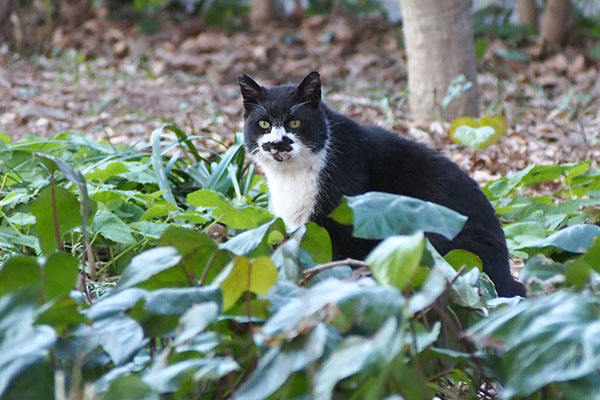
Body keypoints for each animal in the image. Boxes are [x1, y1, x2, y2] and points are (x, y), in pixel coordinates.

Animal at [238, 71, 524, 296]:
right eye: (263, 124)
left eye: (295, 122)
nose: (276, 144)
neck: (293, 176)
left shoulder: (346, 221)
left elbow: (337, 264)